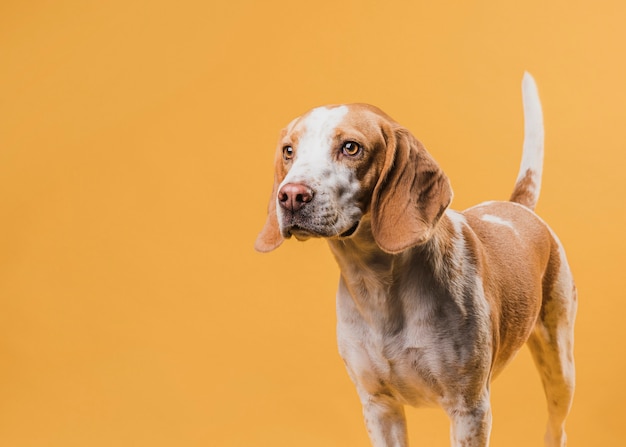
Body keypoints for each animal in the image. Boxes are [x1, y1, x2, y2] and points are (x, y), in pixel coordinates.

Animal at [254, 74, 576, 447]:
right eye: (288, 151)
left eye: (351, 147)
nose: (291, 195)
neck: (376, 284)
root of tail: (517, 207)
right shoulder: (379, 406)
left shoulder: (469, 410)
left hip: (560, 369)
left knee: (557, 428)